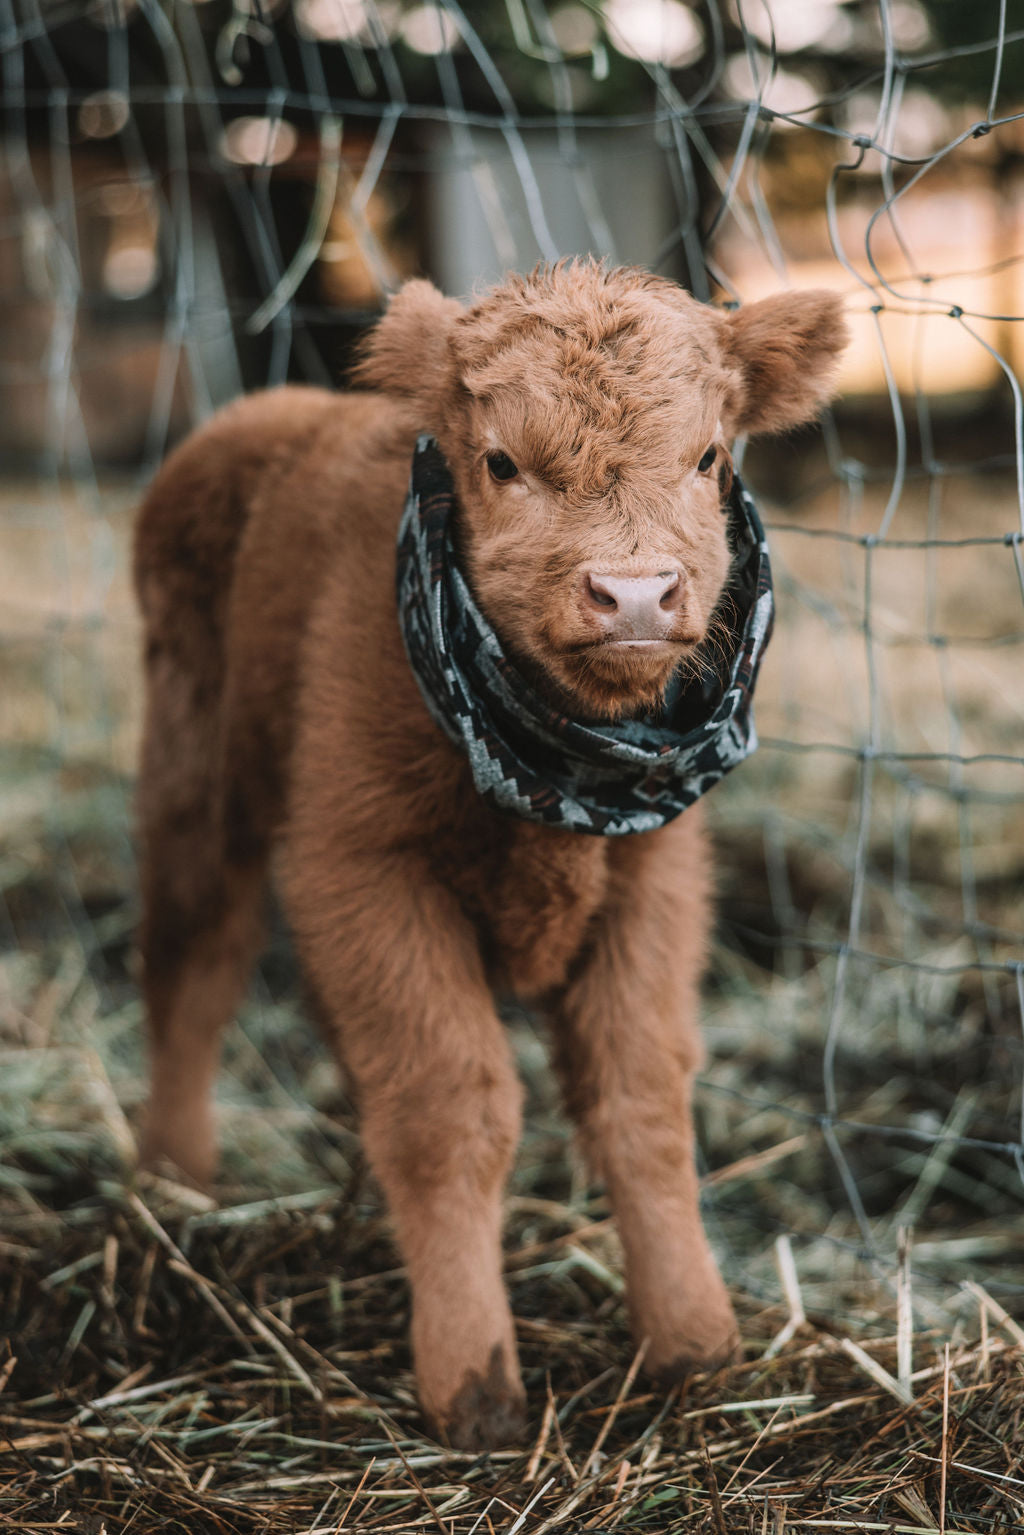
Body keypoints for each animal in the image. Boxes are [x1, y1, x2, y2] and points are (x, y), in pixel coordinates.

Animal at [132, 264, 847, 1449]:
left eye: (708, 457)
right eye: (502, 461)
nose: (635, 593)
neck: (559, 773)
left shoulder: (653, 881)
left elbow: (639, 1098)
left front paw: (694, 1343)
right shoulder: (362, 863)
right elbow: (449, 1105)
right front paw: (473, 1382)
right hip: (197, 792)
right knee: (192, 968)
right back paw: (172, 1180)